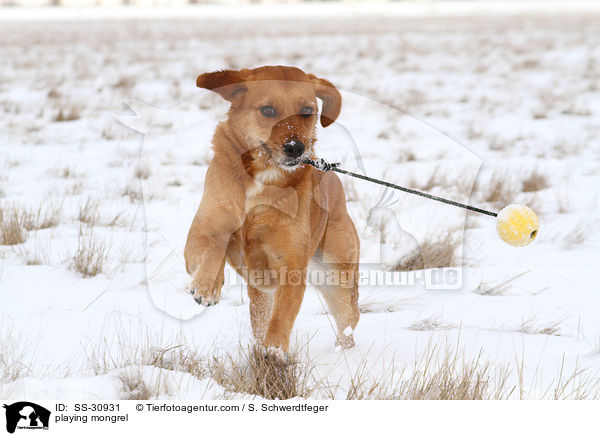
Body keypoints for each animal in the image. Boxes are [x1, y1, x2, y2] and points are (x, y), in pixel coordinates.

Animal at [185, 64, 358, 356]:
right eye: (267, 110)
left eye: (307, 111)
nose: (295, 148)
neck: (263, 176)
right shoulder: (204, 229)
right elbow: (214, 249)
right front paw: (207, 286)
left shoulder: (291, 262)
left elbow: (284, 312)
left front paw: (275, 347)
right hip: (261, 296)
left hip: (337, 278)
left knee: (348, 320)